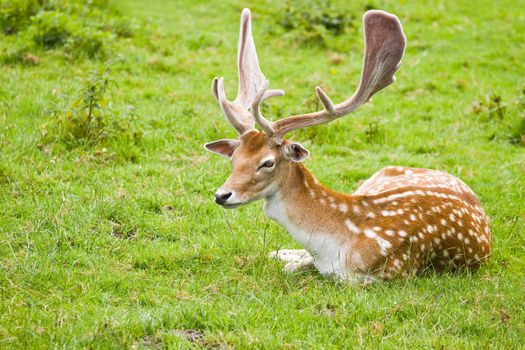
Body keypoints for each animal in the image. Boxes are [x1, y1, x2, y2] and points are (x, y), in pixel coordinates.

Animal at [204, 8, 492, 282]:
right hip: (374, 178)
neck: (336, 245)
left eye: (267, 162)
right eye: (234, 158)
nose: (221, 195)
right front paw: (285, 256)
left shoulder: (394, 272)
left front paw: (290, 261)